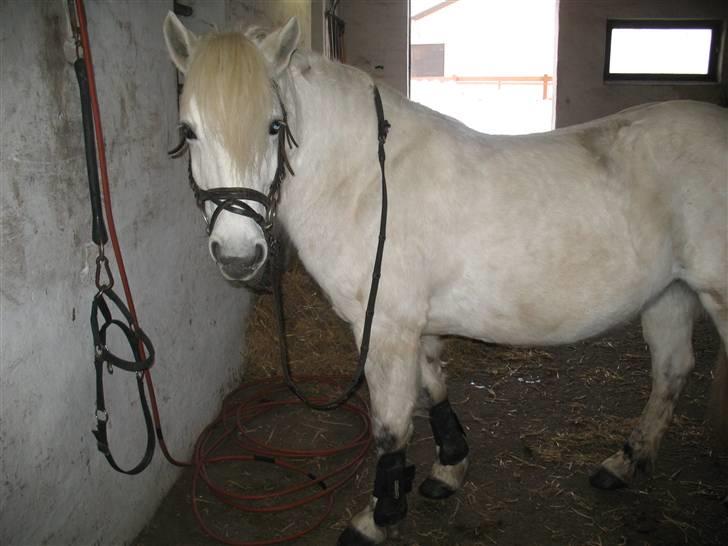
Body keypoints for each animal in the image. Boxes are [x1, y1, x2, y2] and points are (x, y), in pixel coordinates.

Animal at [163, 14, 728, 545]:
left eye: (275, 126)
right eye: (188, 131)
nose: (239, 255)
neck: (364, 182)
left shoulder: (384, 330)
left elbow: (390, 428)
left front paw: (377, 518)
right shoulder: (416, 326)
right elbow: (433, 387)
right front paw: (448, 468)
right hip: (670, 294)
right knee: (671, 371)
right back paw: (624, 463)